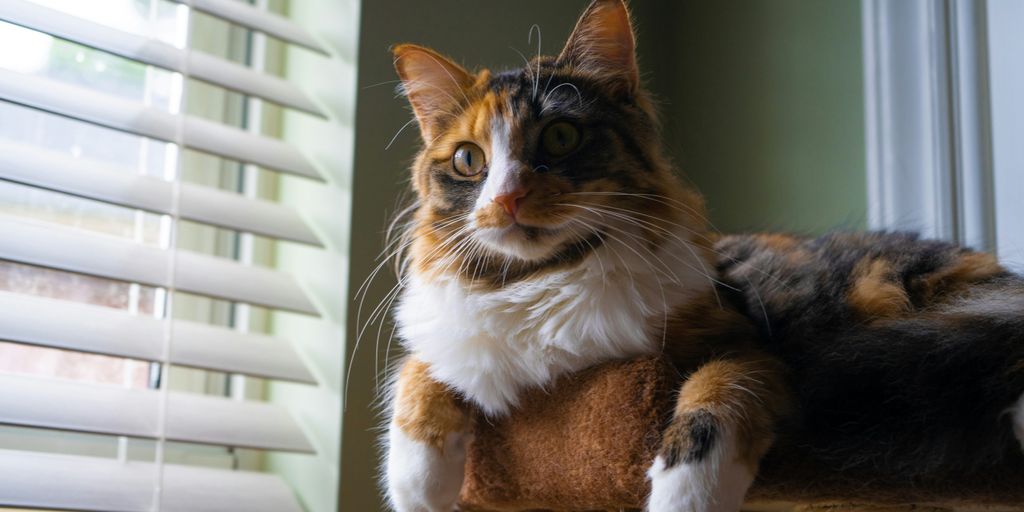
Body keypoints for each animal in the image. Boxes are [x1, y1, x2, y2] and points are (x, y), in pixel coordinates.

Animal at [382, 1, 1024, 512]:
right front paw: (419, 484)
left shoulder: (743, 344)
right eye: (469, 160)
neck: (540, 279)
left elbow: (714, 394)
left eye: (561, 137)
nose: (506, 198)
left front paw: (684, 492)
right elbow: (420, 372)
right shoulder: (448, 338)